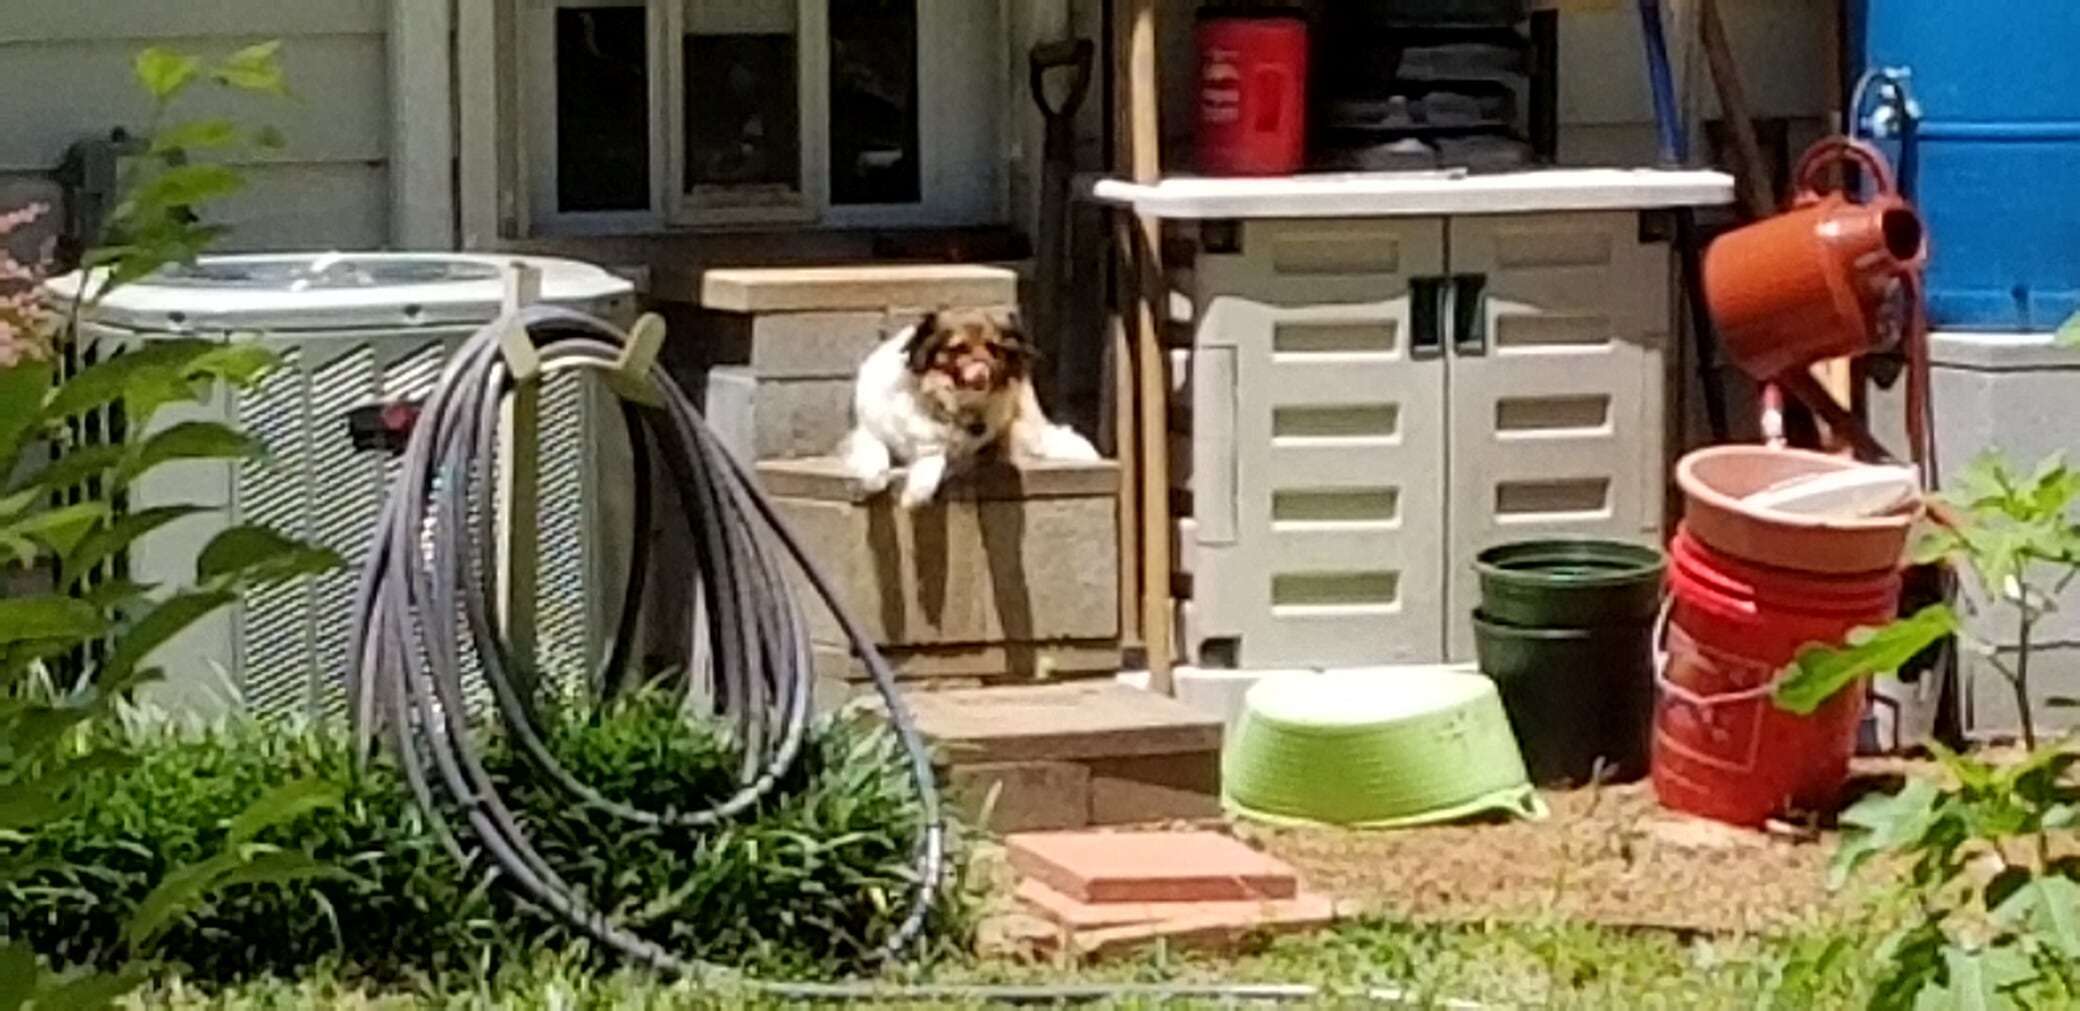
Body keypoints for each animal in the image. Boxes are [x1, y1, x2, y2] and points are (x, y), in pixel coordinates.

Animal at [840, 305, 1114, 509]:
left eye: (993, 348)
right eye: (959, 348)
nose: (983, 372)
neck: (945, 401)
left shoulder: (968, 453)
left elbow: (935, 460)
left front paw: (914, 495)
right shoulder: (866, 431)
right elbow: (875, 450)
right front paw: (873, 479)